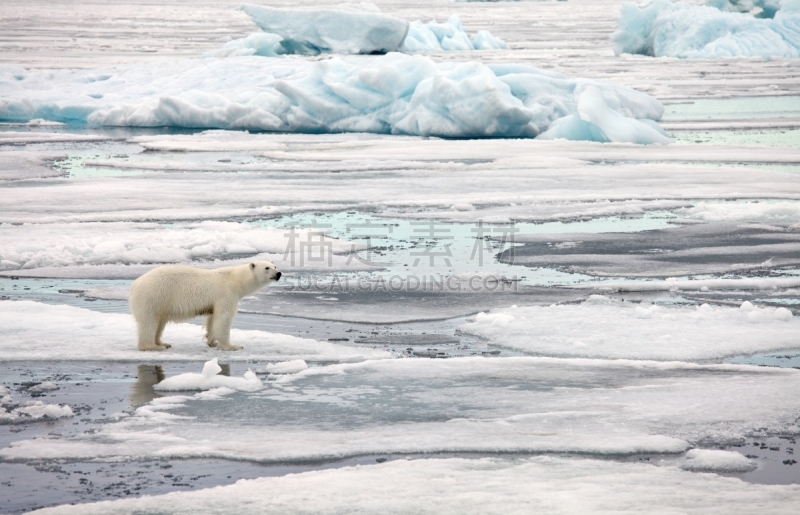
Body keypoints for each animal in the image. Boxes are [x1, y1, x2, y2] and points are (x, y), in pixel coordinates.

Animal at [129, 262, 282, 350]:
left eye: (275, 266)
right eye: (267, 268)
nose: (278, 273)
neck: (236, 280)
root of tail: (135, 284)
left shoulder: (214, 301)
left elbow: (212, 319)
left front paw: (212, 342)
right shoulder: (226, 293)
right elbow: (224, 318)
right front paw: (232, 346)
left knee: (160, 322)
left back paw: (162, 343)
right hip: (154, 296)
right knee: (149, 321)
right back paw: (152, 346)